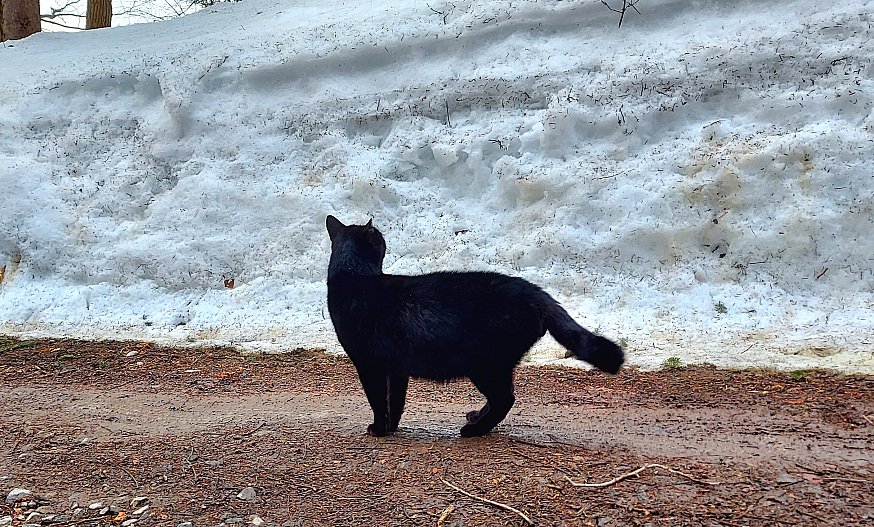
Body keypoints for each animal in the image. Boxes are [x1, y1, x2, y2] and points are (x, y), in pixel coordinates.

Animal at [326, 214, 620, 438]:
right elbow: (394, 400)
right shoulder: (397, 368)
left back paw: (474, 430)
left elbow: (378, 400)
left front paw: (379, 429)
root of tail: (536, 292)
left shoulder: (369, 364)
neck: (355, 276)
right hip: (492, 365)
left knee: (505, 399)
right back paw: (476, 417)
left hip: (485, 364)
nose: (383, 234)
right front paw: (391, 428)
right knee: (501, 397)